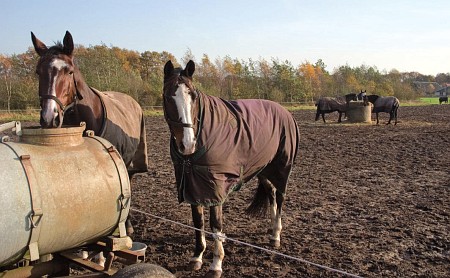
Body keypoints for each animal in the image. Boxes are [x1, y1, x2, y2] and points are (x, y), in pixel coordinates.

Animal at [163, 60, 298, 278]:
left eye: (193, 96)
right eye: (168, 96)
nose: (187, 144)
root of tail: (284, 111)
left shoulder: (214, 187)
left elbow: (215, 224)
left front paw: (216, 263)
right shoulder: (192, 184)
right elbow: (198, 222)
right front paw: (197, 256)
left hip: (281, 168)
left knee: (280, 197)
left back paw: (276, 234)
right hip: (263, 169)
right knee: (270, 193)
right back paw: (271, 231)